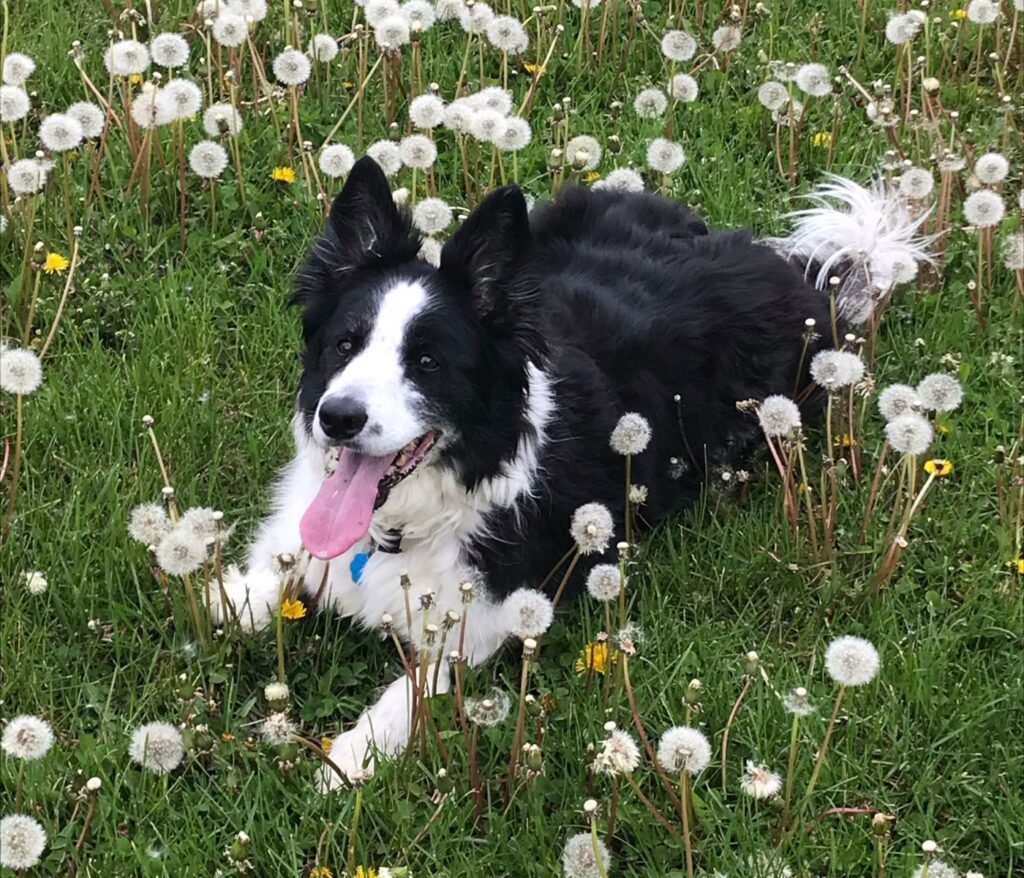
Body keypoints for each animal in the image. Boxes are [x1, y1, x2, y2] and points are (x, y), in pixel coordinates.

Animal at [220, 153, 933, 782]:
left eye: (426, 362)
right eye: (345, 344)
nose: (337, 418)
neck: (399, 523)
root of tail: (797, 272)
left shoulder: (483, 619)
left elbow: (408, 691)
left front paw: (344, 761)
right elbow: (257, 584)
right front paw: (221, 601)